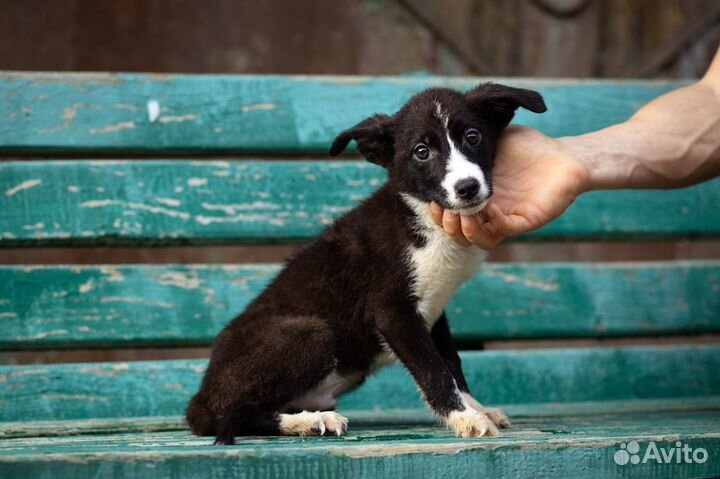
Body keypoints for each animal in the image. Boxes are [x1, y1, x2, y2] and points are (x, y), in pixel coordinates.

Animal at [186, 82, 544, 446]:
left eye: (473, 136)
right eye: (421, 151)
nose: (467, 187)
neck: (422, 217)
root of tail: (201, 396)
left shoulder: (435, 310)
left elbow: (451, 362)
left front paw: (477, 408)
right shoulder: (391, 311)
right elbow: (433, 369)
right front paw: (464, 417)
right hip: (309, 334)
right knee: (227, 416)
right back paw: (310, 421)